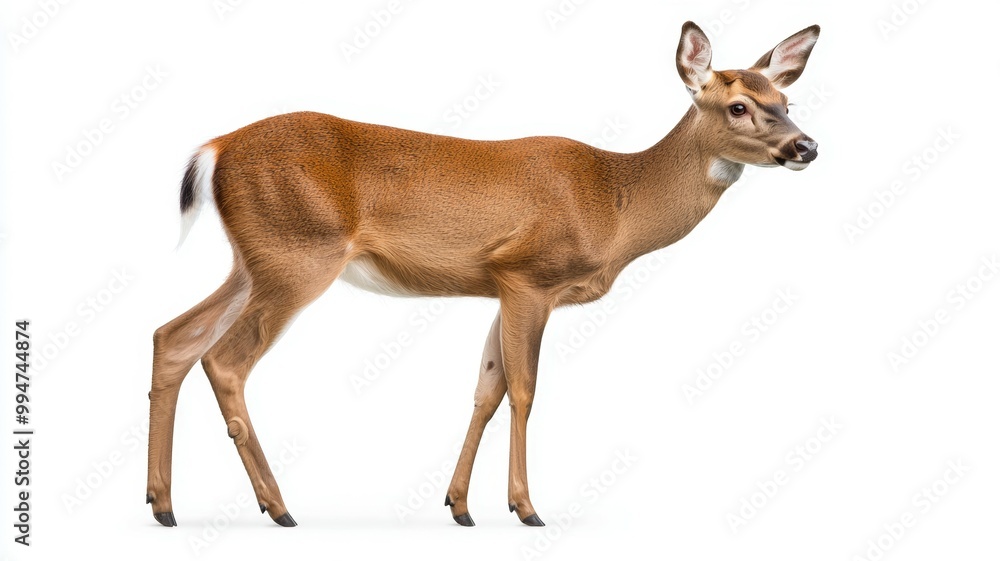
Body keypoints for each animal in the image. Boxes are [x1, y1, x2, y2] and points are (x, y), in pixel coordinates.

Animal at [146, 21, 820, 528]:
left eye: (786, 102)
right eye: (738, 105)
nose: (806, 146)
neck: (617, 201)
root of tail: (215, 148)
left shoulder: (498, 286)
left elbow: (486, 388)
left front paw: (460, 506)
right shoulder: (529, 275)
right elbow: (523, 389)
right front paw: (525, 507)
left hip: (253, 259)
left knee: (173, 336)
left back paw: (163, 504)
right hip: (298, 253)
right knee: (224, 359)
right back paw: (278, 506)